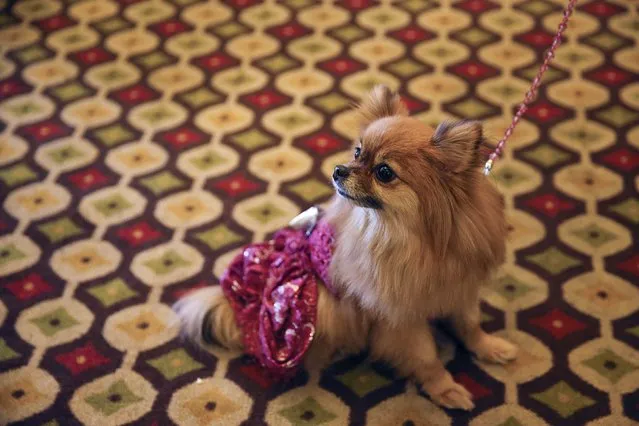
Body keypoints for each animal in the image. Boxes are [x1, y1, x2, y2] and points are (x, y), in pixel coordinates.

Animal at [172, 85, 516, 410]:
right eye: (357, 151)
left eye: (384, 172)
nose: (339, 169)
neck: (416, 242)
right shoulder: (401, 318)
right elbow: (426, 356)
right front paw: (444, 388)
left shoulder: (461, 289)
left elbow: (469, 324)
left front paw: (489, 347)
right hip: (326, 304)